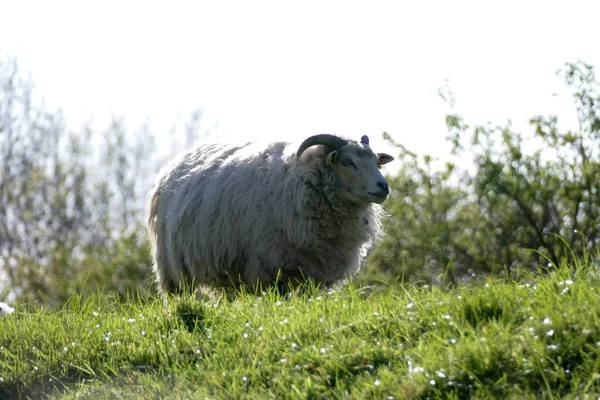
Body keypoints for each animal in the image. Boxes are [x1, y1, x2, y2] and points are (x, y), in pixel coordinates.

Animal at [147, 134, 394, 294]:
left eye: (377, 163)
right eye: (346, 161)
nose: (383, 187)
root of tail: (174, 164)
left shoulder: (314, 268)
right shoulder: (272, 265)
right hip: (170, 264)